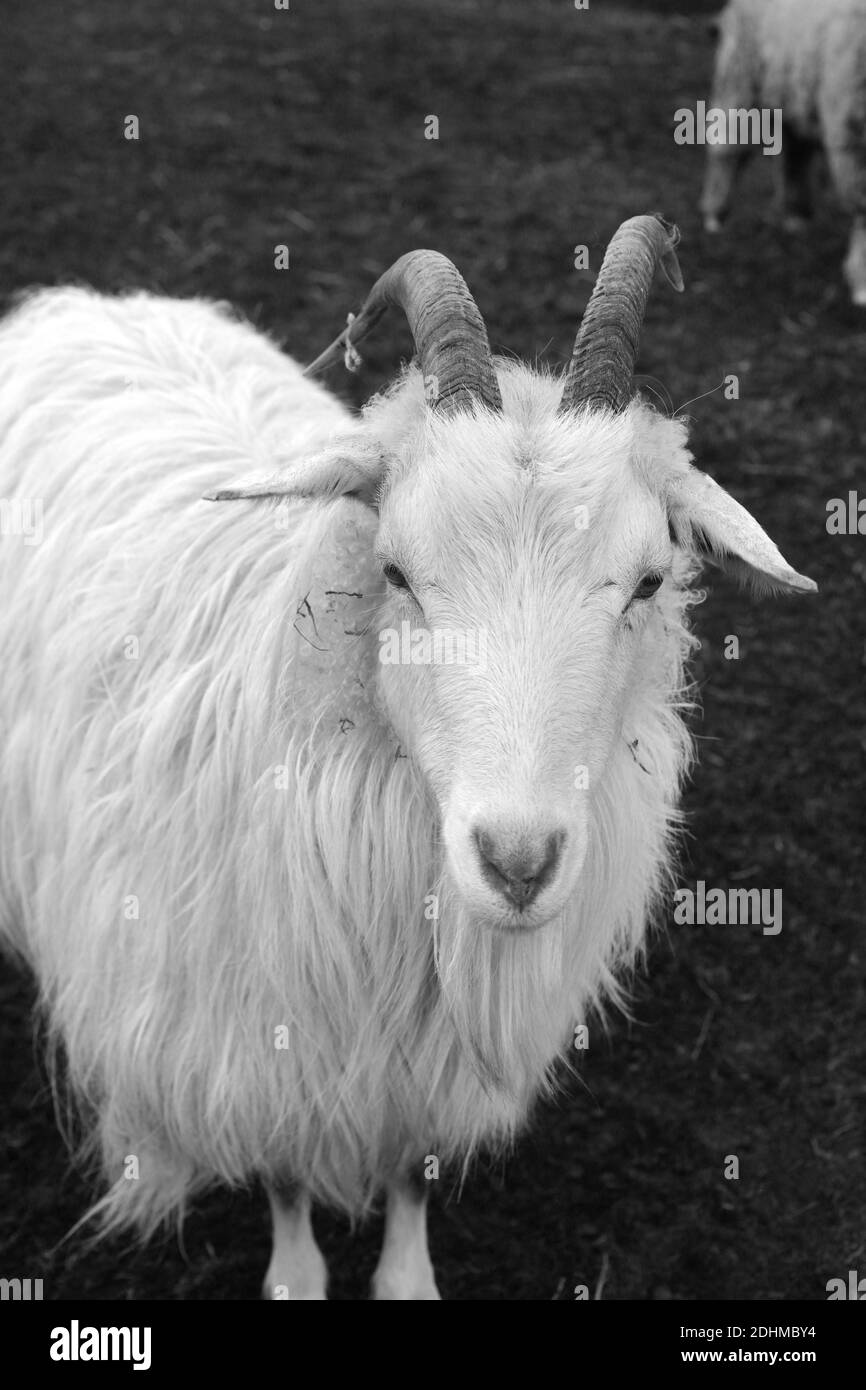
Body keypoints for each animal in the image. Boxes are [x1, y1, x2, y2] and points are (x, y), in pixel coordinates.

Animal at [0, 211, 817, 1295]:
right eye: (394, 570)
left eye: (648, 581)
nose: (517, 861)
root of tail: (85, 303)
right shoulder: (256, 1048)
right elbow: (287, 1182)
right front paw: (295, 1274)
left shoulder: (420, 1072)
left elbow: (410, 1178)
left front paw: (404, 1273)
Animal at [700, 0, 866, 303]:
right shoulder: (852, 137)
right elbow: (862, 209)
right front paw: (861, 283)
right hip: (739, 79)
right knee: (726, 148)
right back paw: (714, 216)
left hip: (793, 92)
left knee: (796, 153)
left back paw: (796, 215)